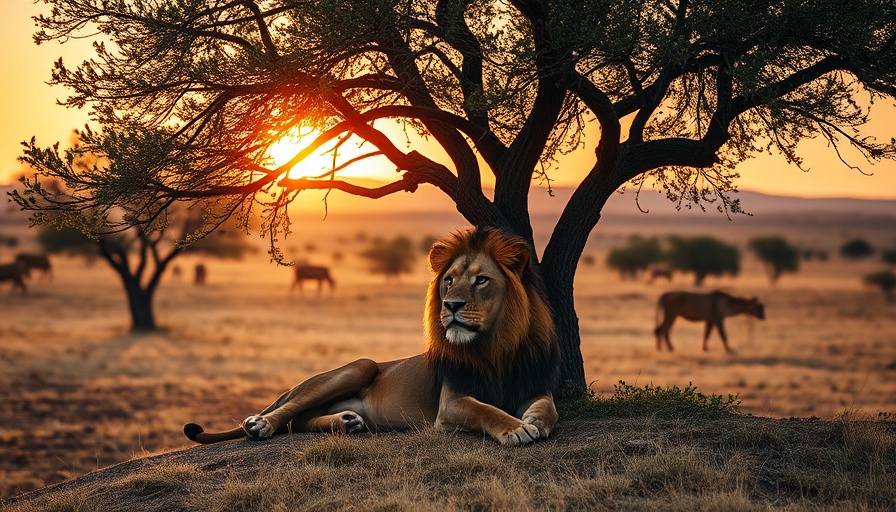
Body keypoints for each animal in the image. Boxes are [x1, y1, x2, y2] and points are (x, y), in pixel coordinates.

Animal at [184, 226, 560, 446]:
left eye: (481, 280)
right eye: (449, 280)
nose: (450, 305)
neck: (495, 348)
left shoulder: (534, 386)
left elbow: (549, 408)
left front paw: (533, 420)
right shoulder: (451, 404)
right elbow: (485, 410)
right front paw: (515, 428)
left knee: (301, 421)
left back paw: (348, 422)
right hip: (360, 365)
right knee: (289, 411)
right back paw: (260, 425)